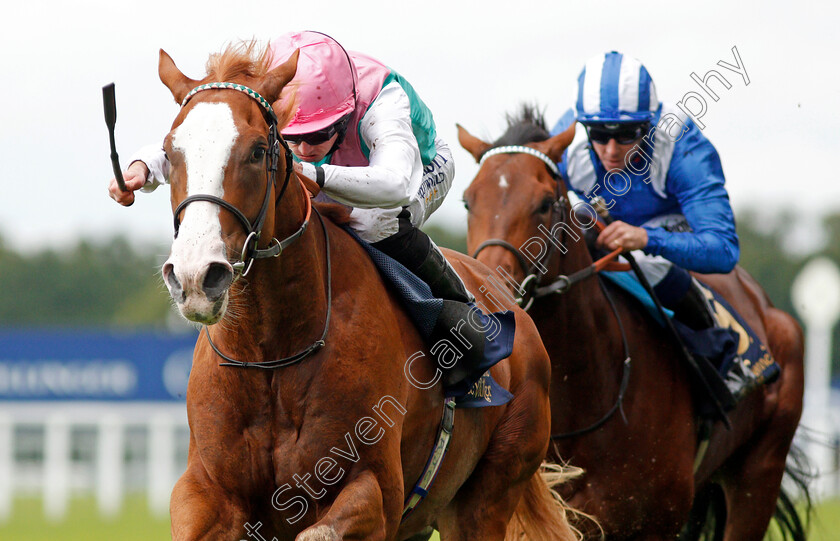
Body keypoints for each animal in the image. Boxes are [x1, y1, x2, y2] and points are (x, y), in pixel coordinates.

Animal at [154, 46, 580, 540]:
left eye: (259, 151)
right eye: (169, 152)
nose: (195, 276)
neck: (271, 354)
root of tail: (515, 308)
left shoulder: (374, 490)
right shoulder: (205, 492)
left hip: (488, 493)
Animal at [456, 107, 812, 536]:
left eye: (543, 203)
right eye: (468, 202)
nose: (490, 292)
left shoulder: (657, 521)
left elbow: (719, 240)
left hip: (758, 474)